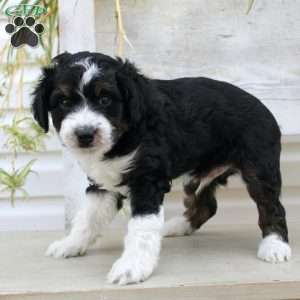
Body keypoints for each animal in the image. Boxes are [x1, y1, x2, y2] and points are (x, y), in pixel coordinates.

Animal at [32, 52, 290, 286]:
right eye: (64, 102)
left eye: (105, 100)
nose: (84, 135)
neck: (125, 135)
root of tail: (263, 105)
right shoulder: (103, 184)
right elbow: (88, 217)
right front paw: (70, 244)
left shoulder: (146, 180)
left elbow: (141, 227)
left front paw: (131, 267)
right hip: (198, 174)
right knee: (206, 206)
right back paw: (178, 226)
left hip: (259, 169)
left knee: (272, 207)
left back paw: (275, 246)